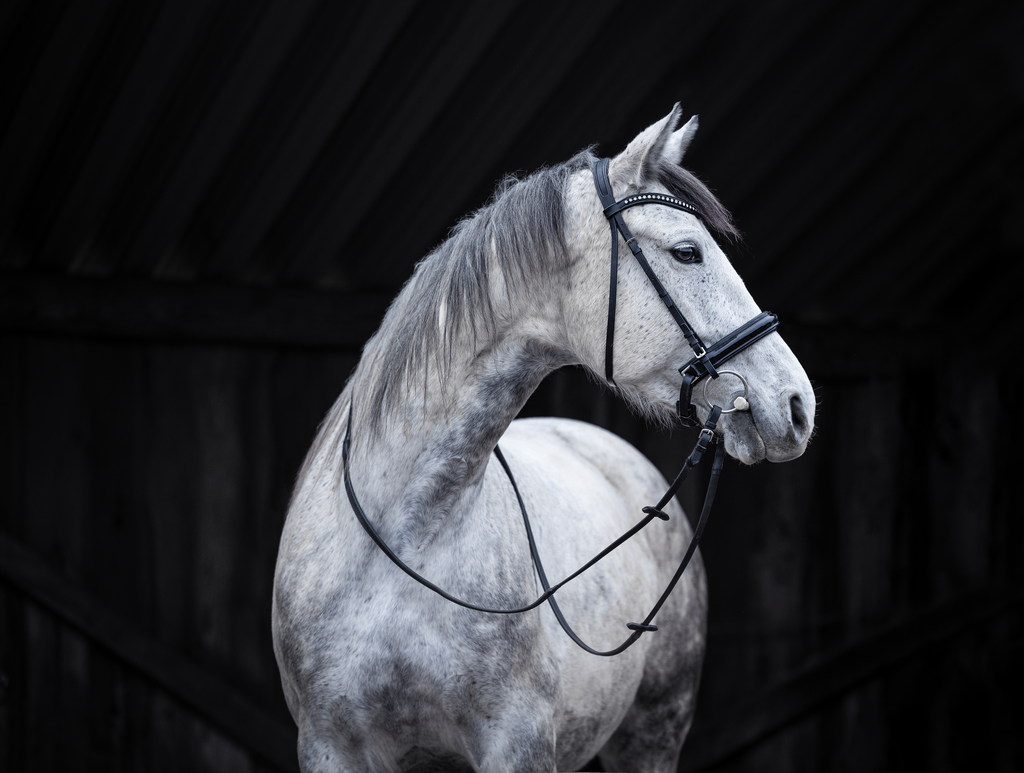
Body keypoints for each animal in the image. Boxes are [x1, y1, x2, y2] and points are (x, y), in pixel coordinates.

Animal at [272, 105, 815, 773]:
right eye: (687, 251)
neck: (404, 539)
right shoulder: (329, 745)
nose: (796, 405)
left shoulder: (518, 745)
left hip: (653, 736)